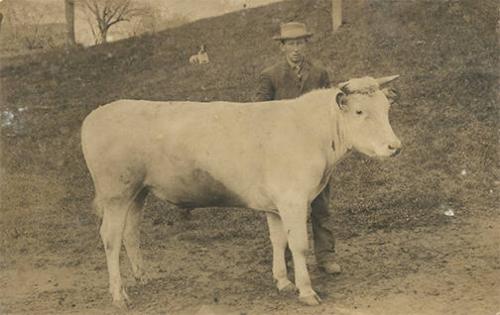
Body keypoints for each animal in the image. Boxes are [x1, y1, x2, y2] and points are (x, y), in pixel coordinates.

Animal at [82, 74, 402, 308]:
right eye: (360, 111)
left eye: (386, 109)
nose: (395, 146)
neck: (311, 132)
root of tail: (96, 114)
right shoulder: (293, 199)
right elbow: (298, 244)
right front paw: (307, 291)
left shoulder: (276, 204)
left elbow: (278, 241)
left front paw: (283, 282)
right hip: (116, 192)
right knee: (110, 237)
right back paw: (119, 295)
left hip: (138, 191)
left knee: (131, 233)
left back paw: (142, 277)